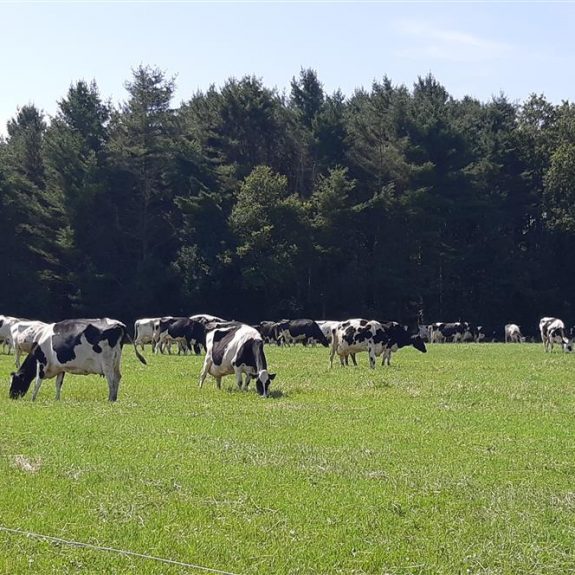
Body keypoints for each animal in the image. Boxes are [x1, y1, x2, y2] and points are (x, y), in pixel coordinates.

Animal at [8, 318, 146, 402]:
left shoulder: (42, 364)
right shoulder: (60, 368)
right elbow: (58, 384)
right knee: (117, 377)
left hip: (107, 362)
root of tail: (119, 324)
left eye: (14, 381)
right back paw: (114, 398)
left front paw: (33, 399)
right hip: (115, 361)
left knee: (111, 380)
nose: (11, 396)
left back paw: (110, 399)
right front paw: (57, 399)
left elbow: (37, 382)